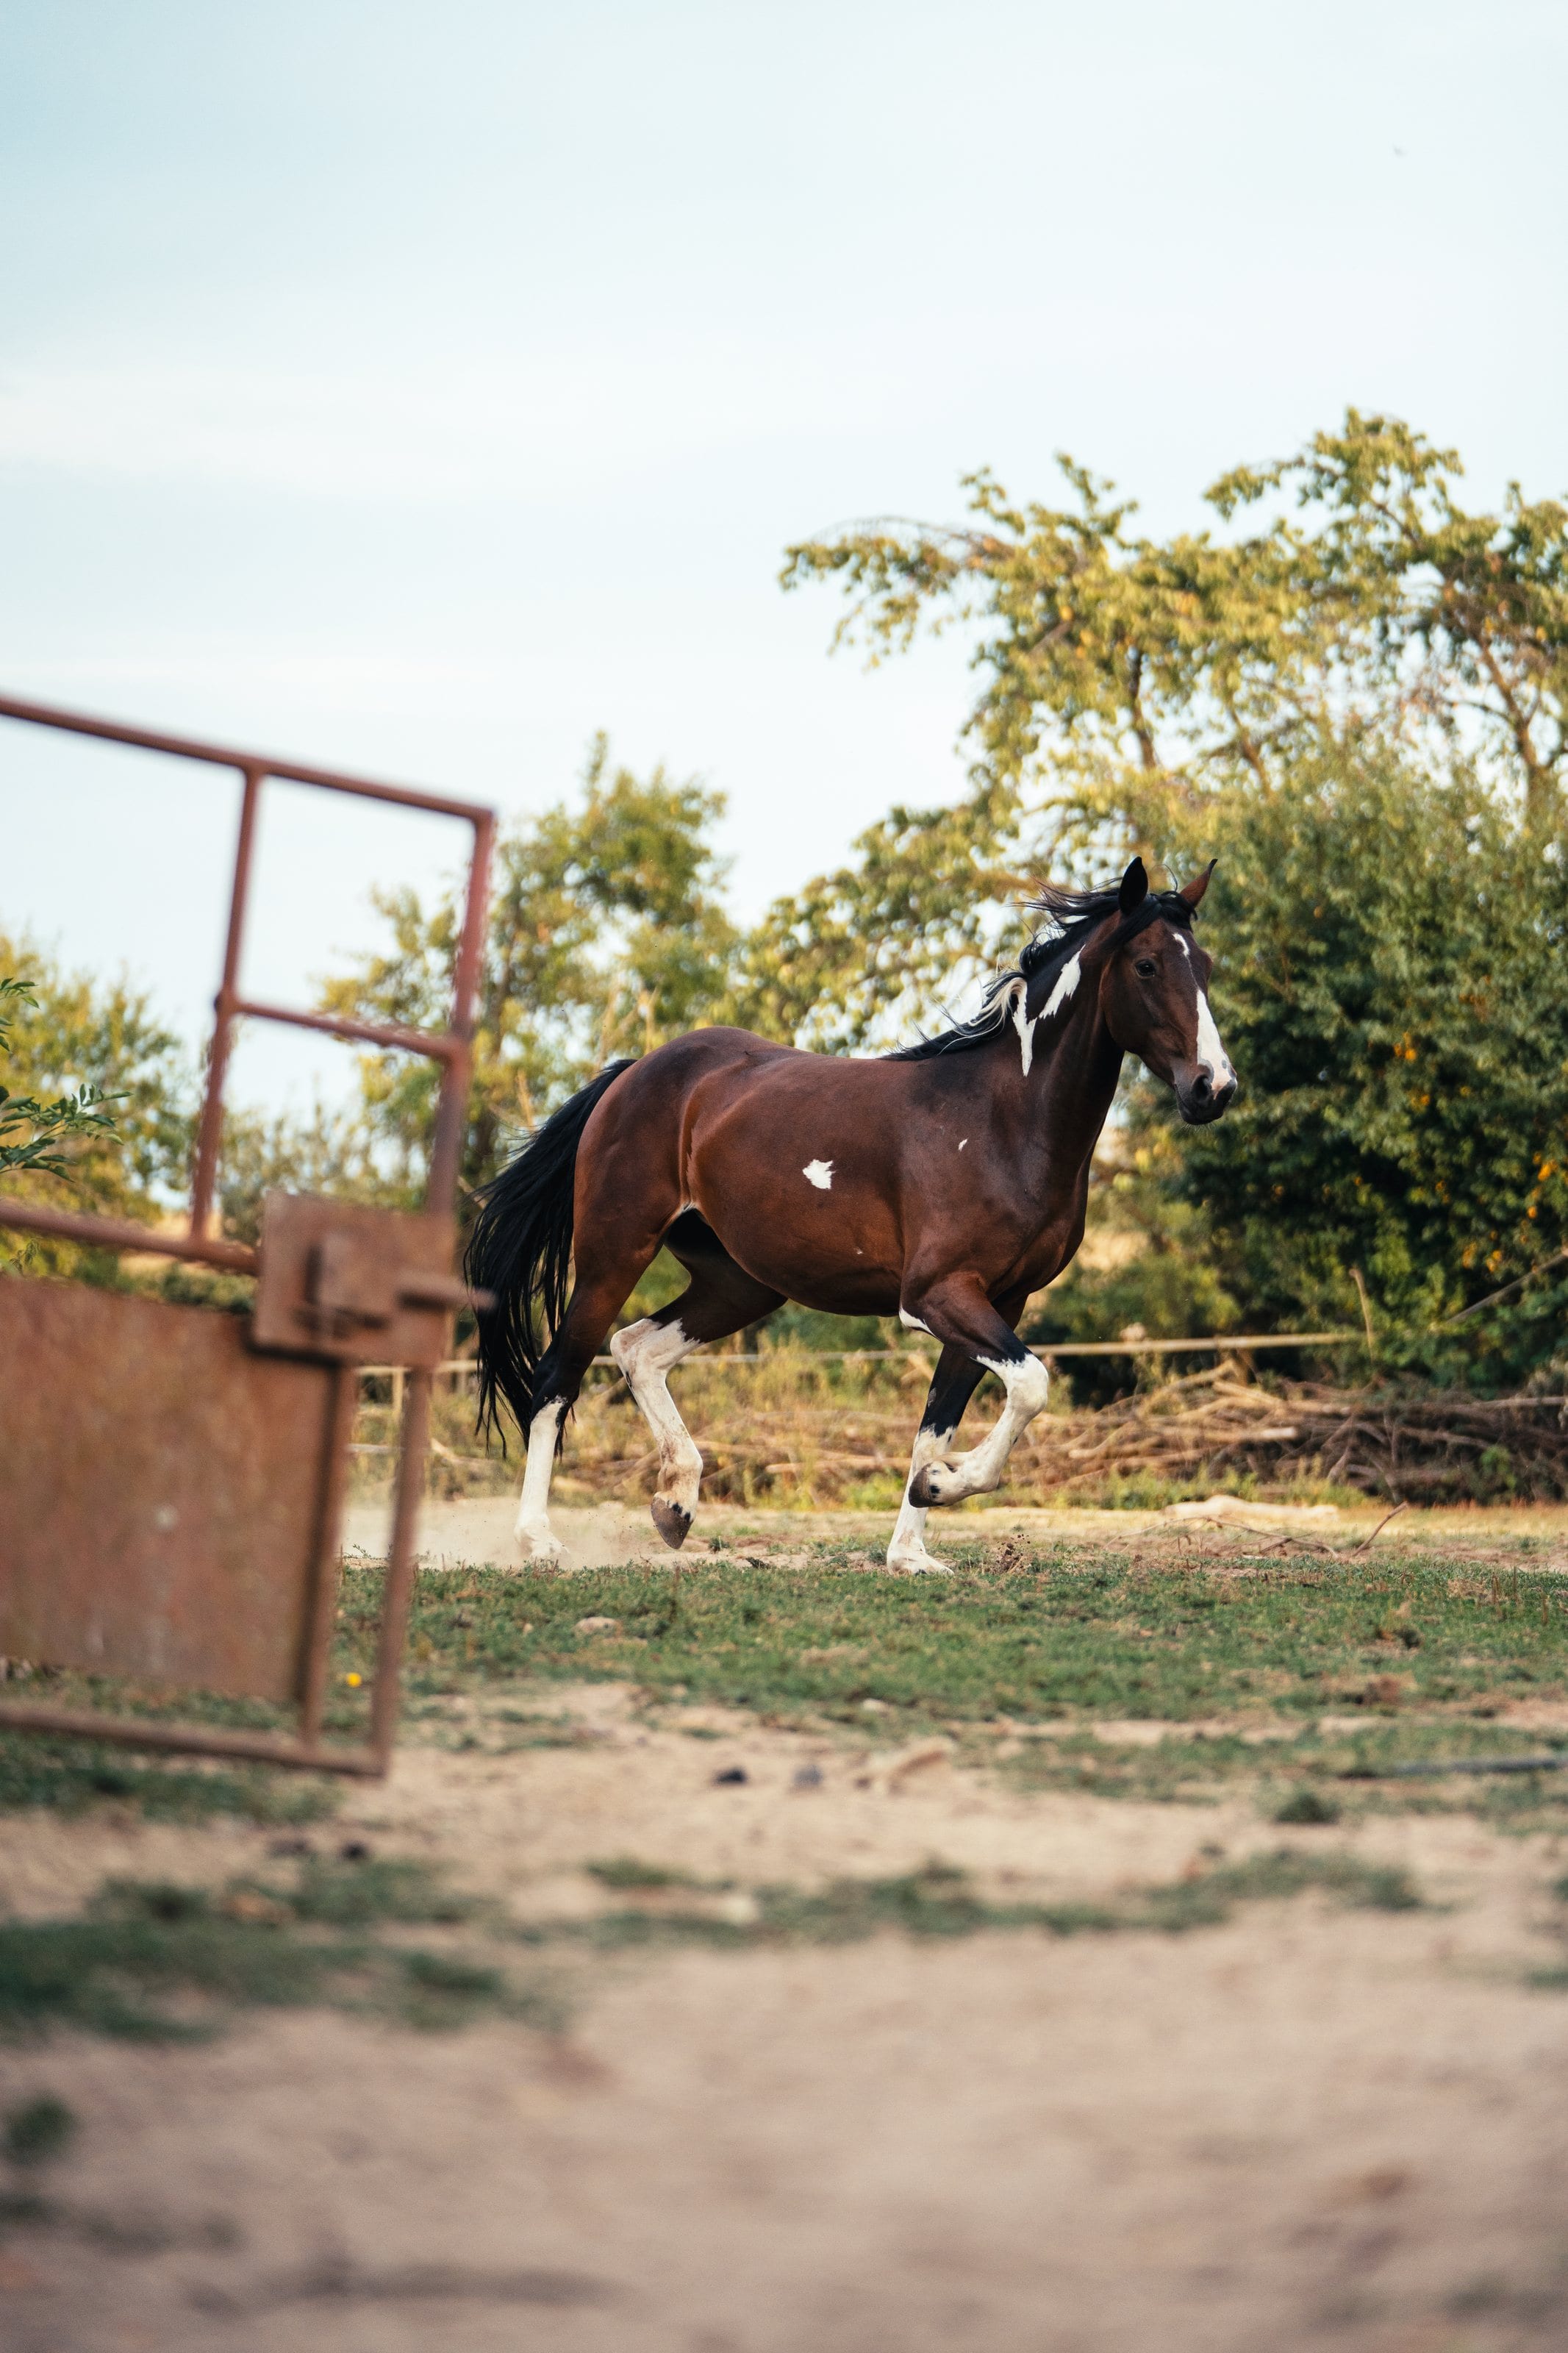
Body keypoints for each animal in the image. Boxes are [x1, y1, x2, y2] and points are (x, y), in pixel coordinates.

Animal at [466, 856, 1236, 1572]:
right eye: (1146, 964)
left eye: (1202, 966)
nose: (1214, 1088)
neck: (1003, 1121)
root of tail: (633, 1073)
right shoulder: (934, 1295)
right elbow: (1032, 1385)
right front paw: (943, 1487)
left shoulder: (1000, 1301)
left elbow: (939, 1424)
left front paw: (915, 1540)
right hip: (613, 1253)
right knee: (557, 1377)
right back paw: (539, 1540)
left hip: (739, 1283)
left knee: (636, 1349)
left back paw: (675, 1503)